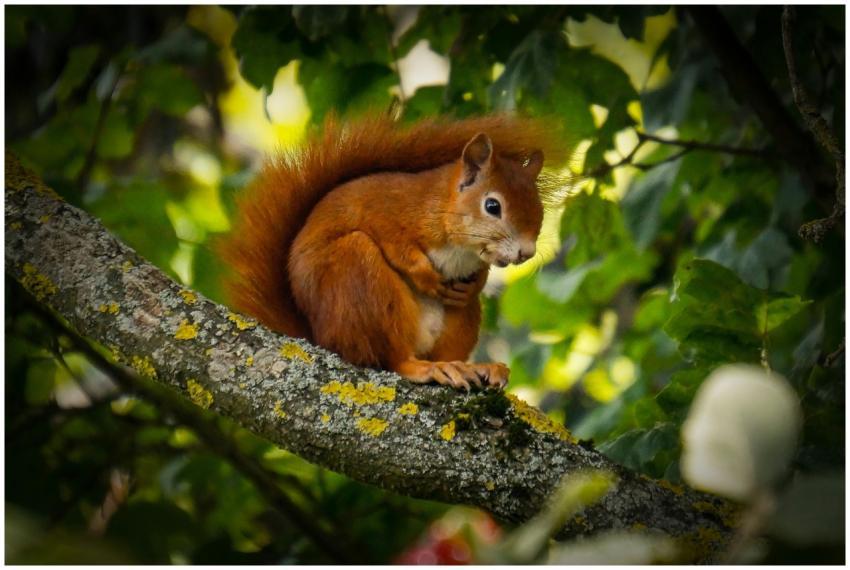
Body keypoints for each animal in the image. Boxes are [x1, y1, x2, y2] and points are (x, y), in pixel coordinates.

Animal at [220, 113, 564, 391]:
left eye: (539, 209)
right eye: (492, 206)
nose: (526, 252)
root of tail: (319, 337)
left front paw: (473, 284)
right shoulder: (382, 210)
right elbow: (397, 246)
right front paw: (426, 276)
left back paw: (472, 366)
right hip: (358, 278)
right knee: (390, 359)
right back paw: (426, 368)